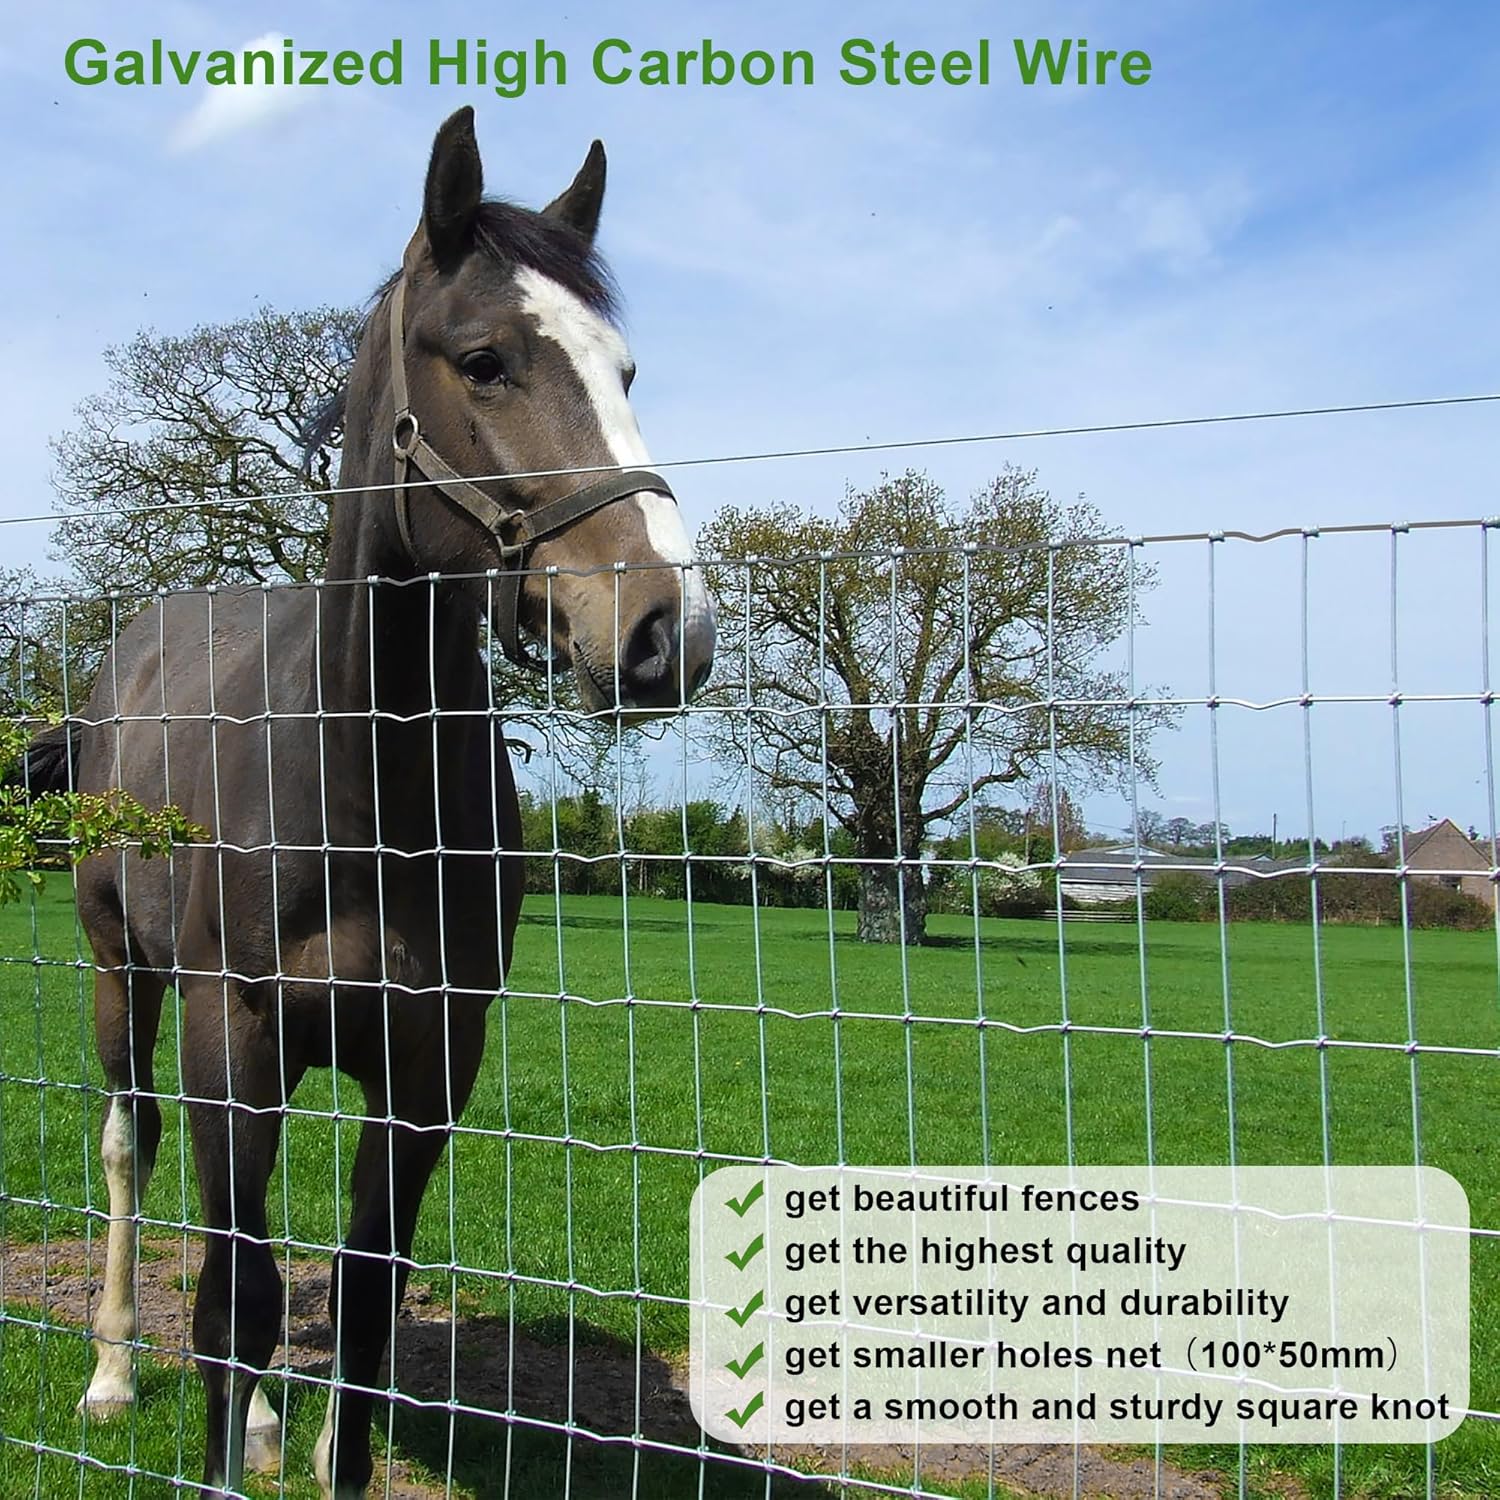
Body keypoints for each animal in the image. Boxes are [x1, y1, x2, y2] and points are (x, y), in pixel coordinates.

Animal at [25, 107, 715, 1496]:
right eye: (485, 360)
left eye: (627, 370)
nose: (670, 630)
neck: (360, 795)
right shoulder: (233, 1036)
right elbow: (234, 1295)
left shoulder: (430, 1064)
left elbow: (364, 1289)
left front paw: (314, 1438)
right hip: (125, 973)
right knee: (133, 1150)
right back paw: (115, 1373)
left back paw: (275, 1422)